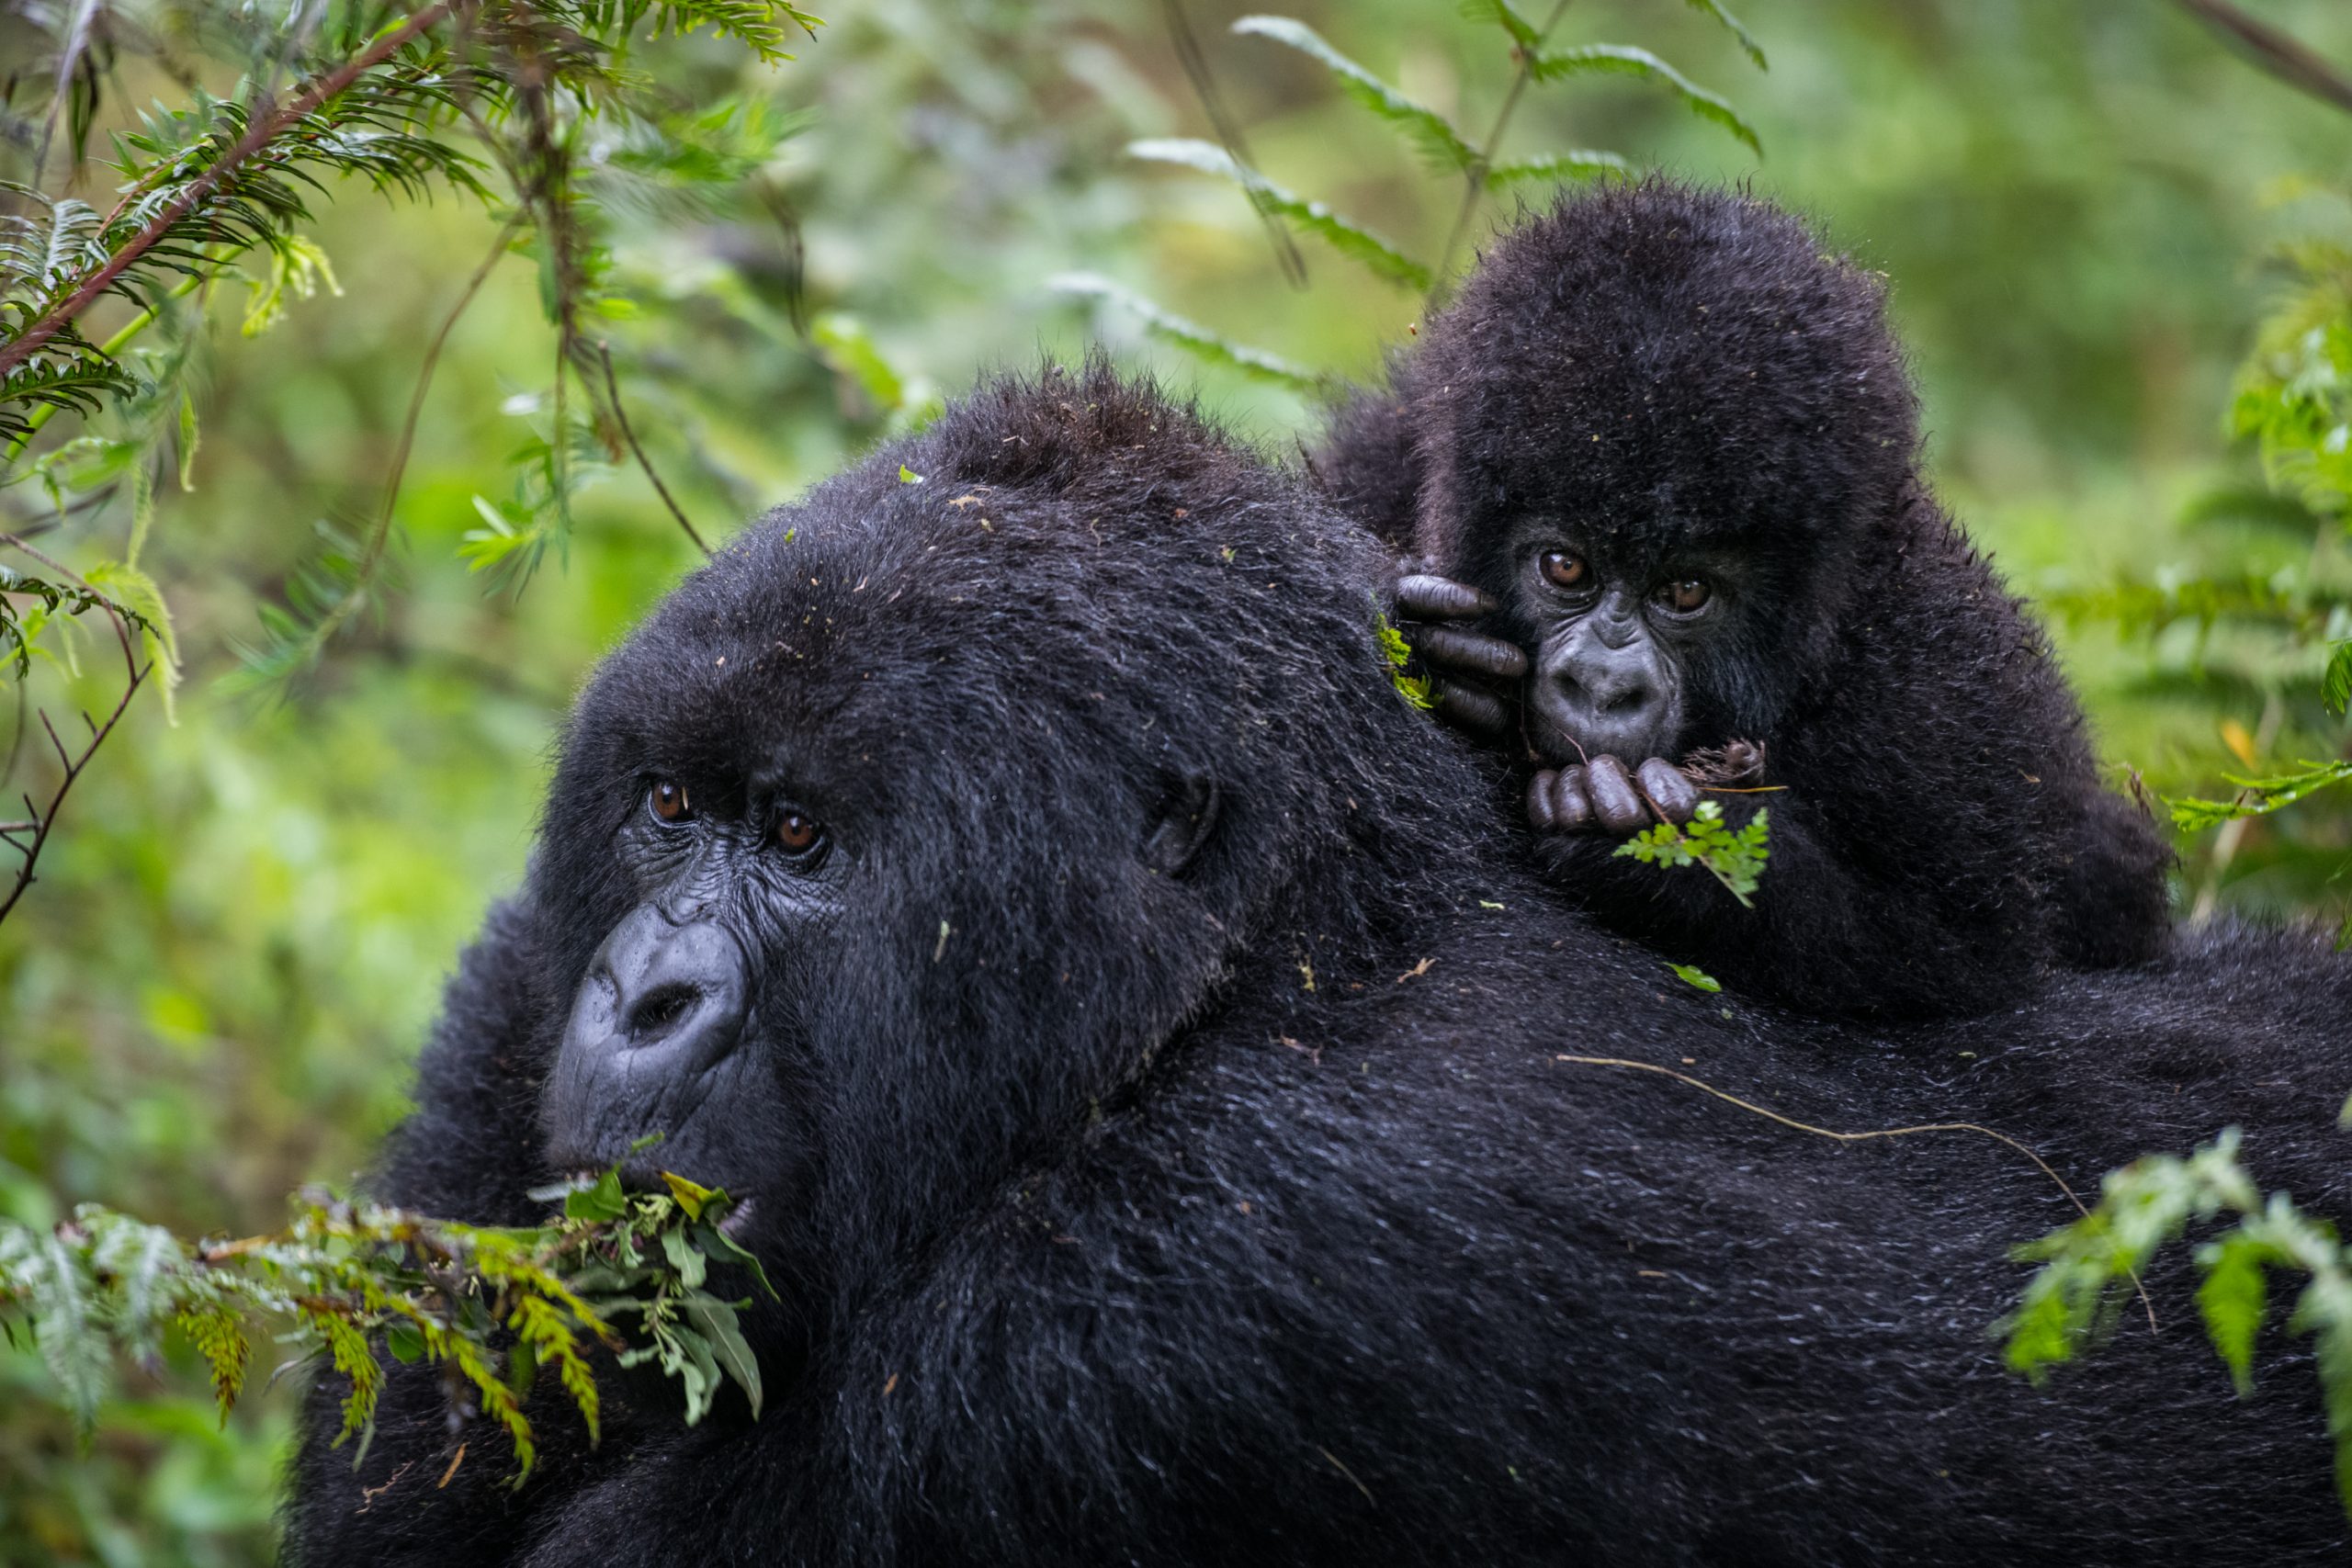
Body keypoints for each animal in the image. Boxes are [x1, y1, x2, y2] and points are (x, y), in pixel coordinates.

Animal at [1354, 181, 2173, 1020]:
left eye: (1686, 590)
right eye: (1564, 566)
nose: (1604, 686)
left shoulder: (1938, 682)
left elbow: (1963, 959)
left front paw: (1670, 845)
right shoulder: (1387, 449)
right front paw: (1445, 650)